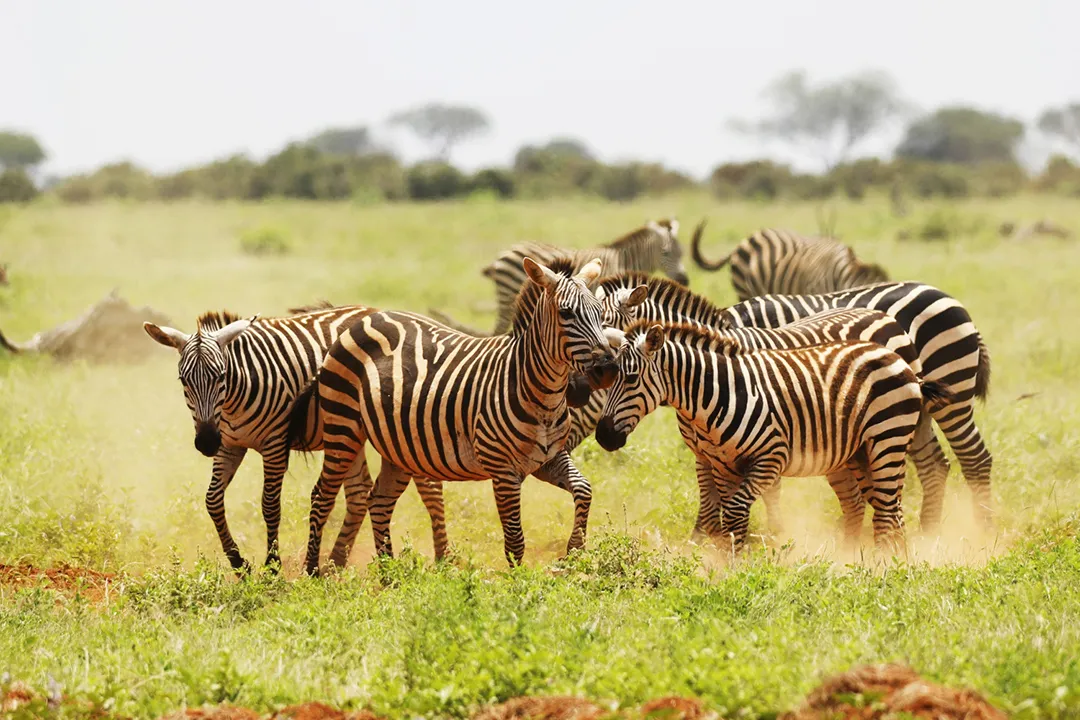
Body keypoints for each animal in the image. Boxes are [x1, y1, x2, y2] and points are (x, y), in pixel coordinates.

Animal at [144, 304, 445, 572]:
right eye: (183, 380)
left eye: (221, 376)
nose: (206, 443)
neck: (233, 400)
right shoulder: (229, 444)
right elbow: (213, 500)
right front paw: (239, 563)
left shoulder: (275, 444)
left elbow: (269, 505)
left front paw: (272, 565)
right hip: (349, 433)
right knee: (360, 494)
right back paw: (335, 563)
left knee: (430, 489)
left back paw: (443, 561)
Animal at [287, 257, 621, 572]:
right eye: (566, 314)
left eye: (600, 314)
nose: (607, 369)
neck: (540, 394)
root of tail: (365, 318)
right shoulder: (503, 470)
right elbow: (515, 540)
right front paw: (518, 582)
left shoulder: (547, 460)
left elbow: (584, 489)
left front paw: (575, 549)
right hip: (343, 428)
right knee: (322, 495)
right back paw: (313, 571)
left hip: (398, 447)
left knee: (379, 501)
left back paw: (389, 575)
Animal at [595, 321, 954, 553]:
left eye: (630, 378)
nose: (603, 437)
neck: (717, 394)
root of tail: (902, 363)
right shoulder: (723, 465)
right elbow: (726, 518)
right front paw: (726, 564)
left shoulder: (771, 457)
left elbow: (736, 511)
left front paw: (734, 564)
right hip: (859, 452)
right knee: (887, 509)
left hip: (887, 439)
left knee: (889, 510)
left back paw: (884, 565)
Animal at [716, 282, 993, 531]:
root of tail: (944, 295)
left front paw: (773, 532)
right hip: (912, 407)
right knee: (935, 465)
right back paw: (930, 532)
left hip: (950, 390)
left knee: (975, 458)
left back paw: (983, 529)